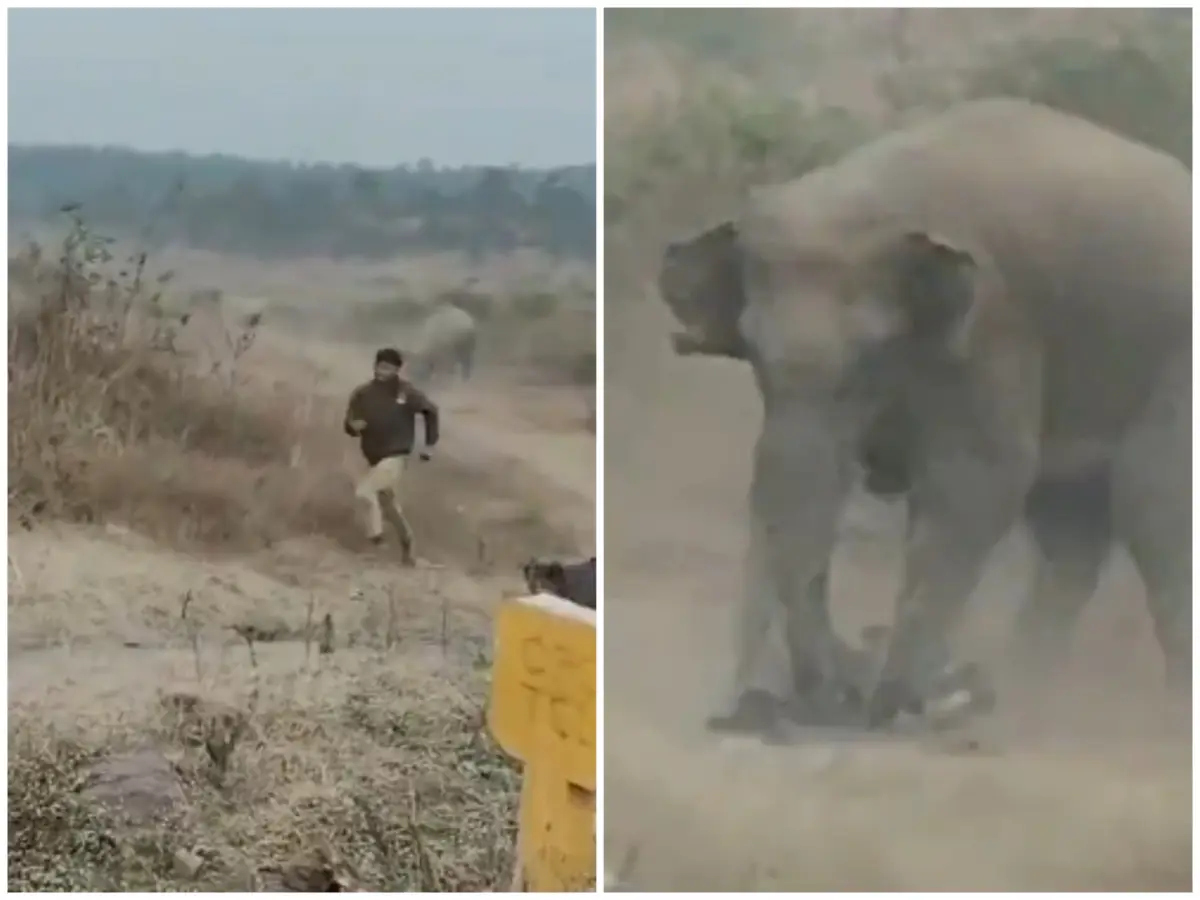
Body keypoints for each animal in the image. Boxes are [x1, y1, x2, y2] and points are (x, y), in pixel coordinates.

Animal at [657, 98, 1191, 731]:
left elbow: (975, 482)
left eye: (868, 355)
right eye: (753, 352)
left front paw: (894, 705)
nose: (829, 698)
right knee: (1071, 532)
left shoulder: (994, 330)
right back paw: (1023, 690)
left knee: (1154, 508)